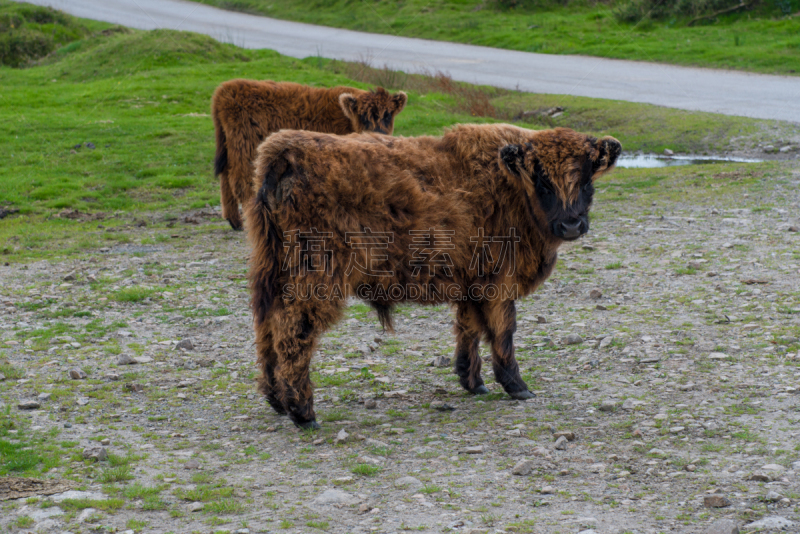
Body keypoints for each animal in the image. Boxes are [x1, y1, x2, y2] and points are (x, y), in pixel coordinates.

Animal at [247, 123, 620, 430]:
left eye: (586, 180)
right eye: (542, 181)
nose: (571, 224)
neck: (510, 185)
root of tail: (284, 149)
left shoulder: (471, 284)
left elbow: (468, 329)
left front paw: (473, 382)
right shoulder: (498, 284)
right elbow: (503, 331)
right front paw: (517, 386)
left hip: (271, 273)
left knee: (267, 328)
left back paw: (277, 400)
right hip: (315, 278)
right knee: (294, 332)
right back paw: (303, 413)